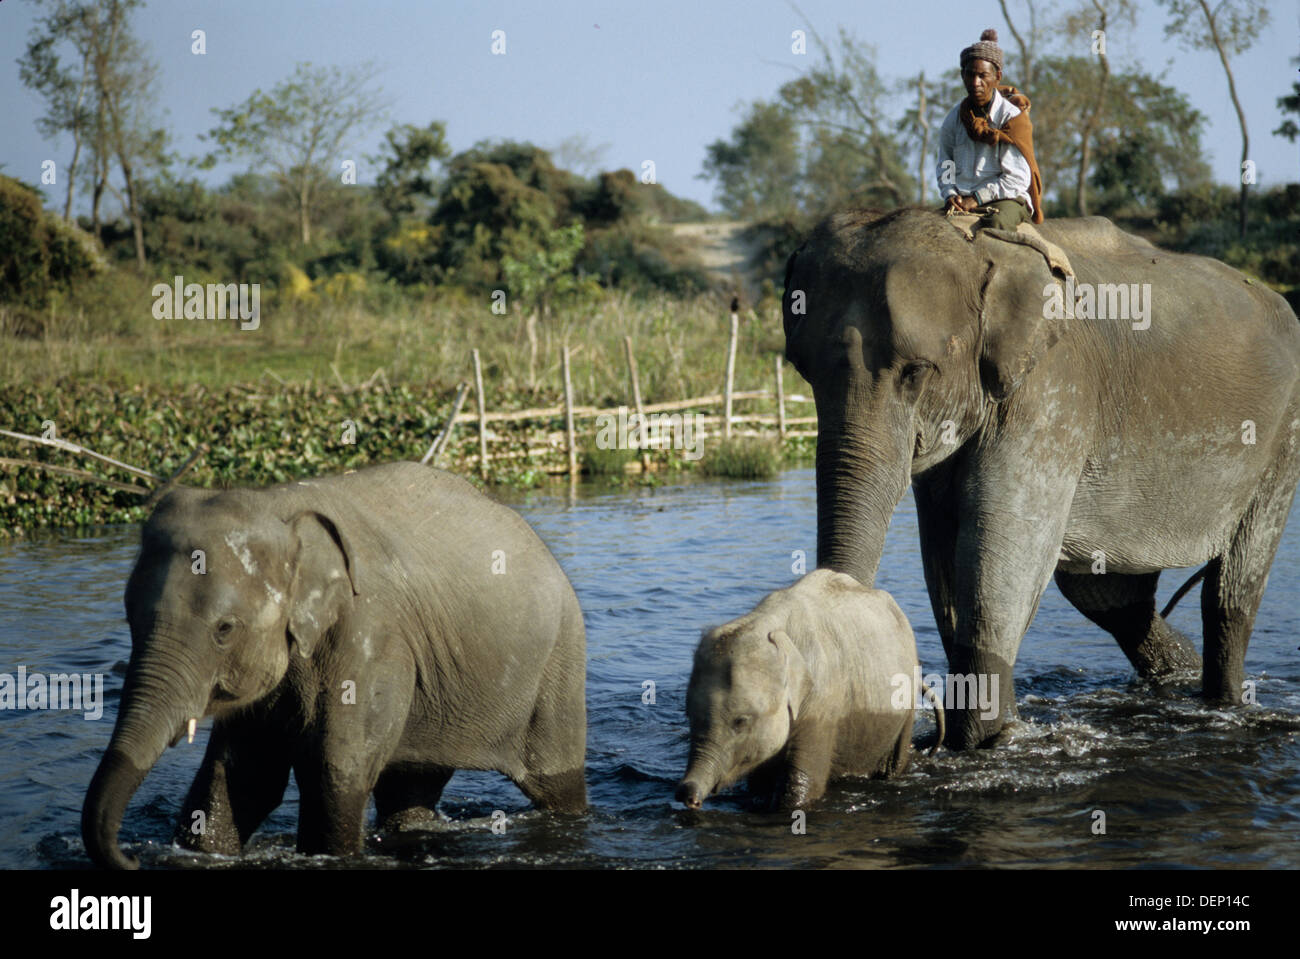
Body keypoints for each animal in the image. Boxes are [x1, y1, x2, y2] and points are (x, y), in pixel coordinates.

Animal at [82, 461, 587, 869]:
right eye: (130, 616)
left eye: (224, 629)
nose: (131, 860)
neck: (277, 506)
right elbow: (245, 775)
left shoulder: (372, 637)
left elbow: (337, 771)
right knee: (410, 786)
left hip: (560, 661)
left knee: (554, 782)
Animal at [675, 569, 944, 811]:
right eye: (689, 716)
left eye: (740, 721)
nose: (686, 796)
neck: (771, 625)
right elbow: (760, 783)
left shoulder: (824, 704)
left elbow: (798, 787)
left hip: (905, 708)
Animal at [782, 208, 1300, 749]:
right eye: (802, 369)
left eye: (916, 371)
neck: (979, 250)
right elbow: (945, 552)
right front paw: (990, 732)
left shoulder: (1052, 392)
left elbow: (999, 548)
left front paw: (982, 740)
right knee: (1110, 597)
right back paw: (1178, 679)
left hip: (1282, 437)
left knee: (1230, 592)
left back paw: (1222, 701)